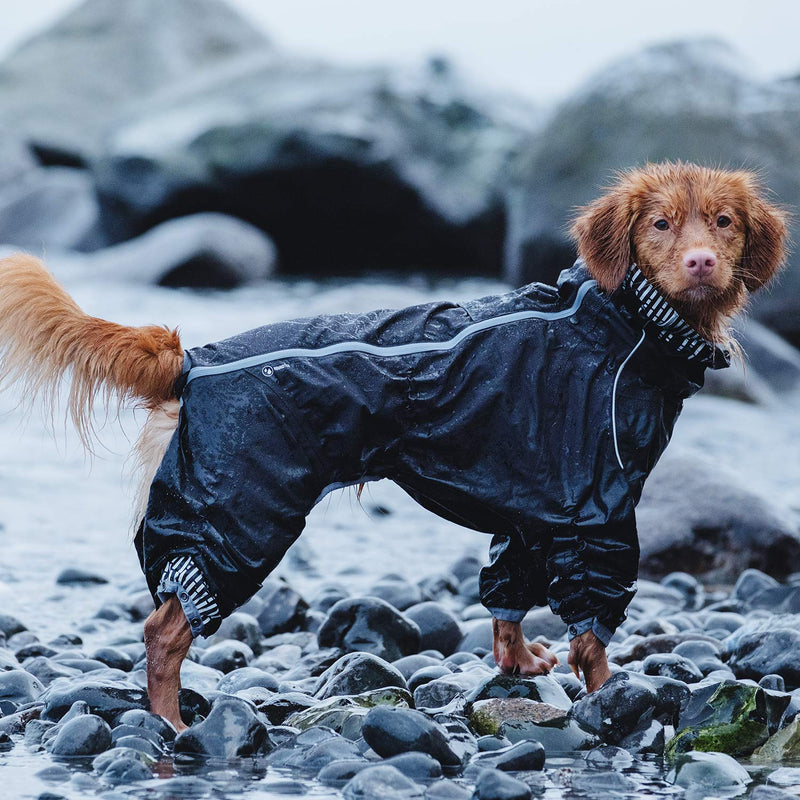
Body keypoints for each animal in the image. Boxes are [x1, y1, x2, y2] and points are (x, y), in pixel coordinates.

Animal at [0, 162, 788, 732]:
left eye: (723, 222)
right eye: (660, 223)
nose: (700, 262)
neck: (619, 321)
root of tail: (191, 358)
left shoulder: (533, 504)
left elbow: (508, 592)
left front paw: (520, 663)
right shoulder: (597, 510)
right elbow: (591, 628)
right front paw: (608, 692)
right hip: (236, 518)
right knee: (165, 631)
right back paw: (168, 723)